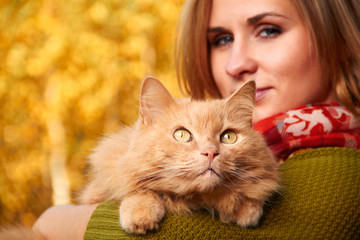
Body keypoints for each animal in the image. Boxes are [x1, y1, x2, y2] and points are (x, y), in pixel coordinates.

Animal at [80, 77, 280, 234]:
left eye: (228, 137)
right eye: (182, 135)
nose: (211, 152)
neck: (196, 200)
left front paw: (246, 208)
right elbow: (143, 189)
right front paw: (141, 213)